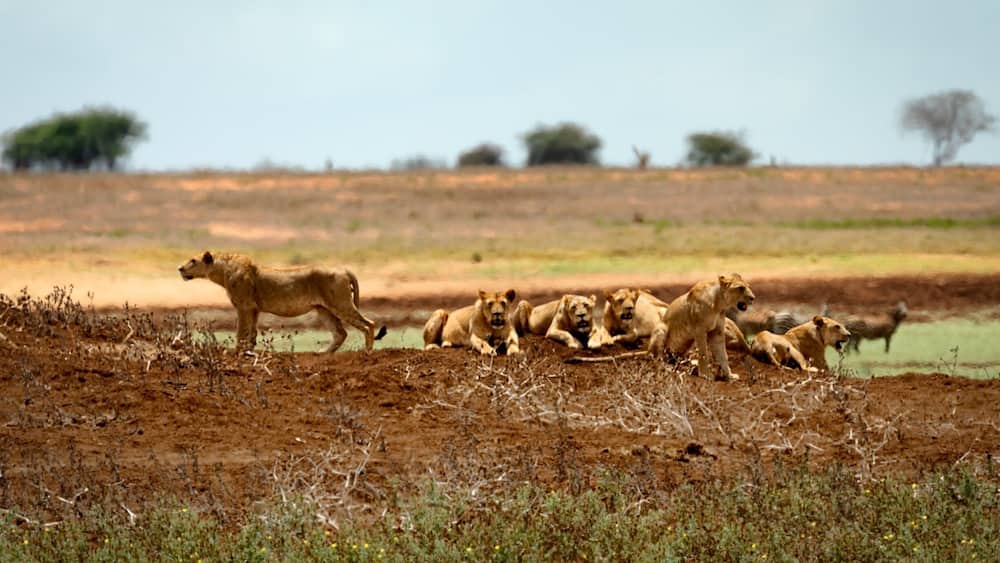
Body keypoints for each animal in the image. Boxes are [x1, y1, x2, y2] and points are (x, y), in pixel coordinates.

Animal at [178, 251, 387, 353]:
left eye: (193, 260)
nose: (180, 268)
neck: (221, 269)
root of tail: (344, 269)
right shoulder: (254, 309)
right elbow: (251, 333)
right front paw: (249, 351)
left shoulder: (244, 306)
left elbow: (241, 332)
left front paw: (236, 352)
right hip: (323, 309)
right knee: (340, 333)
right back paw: (322, 353)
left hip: (340, 304)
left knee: (368, 324)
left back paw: (367, 352)